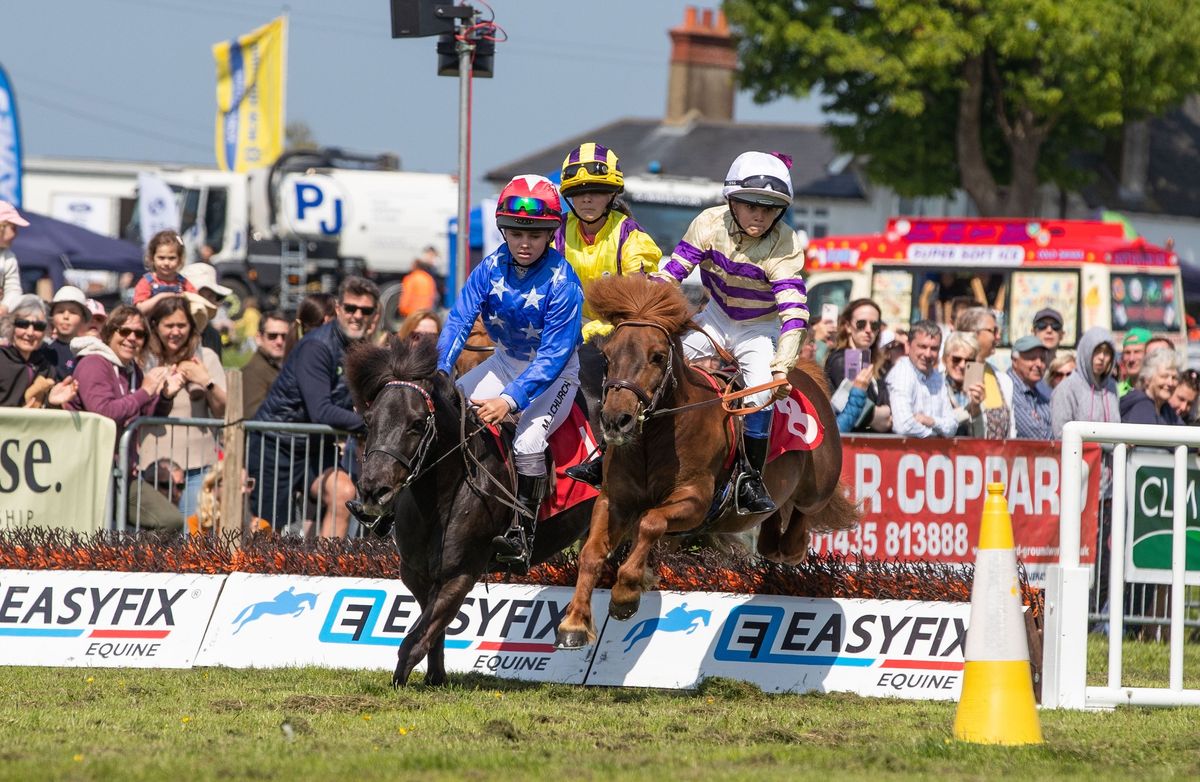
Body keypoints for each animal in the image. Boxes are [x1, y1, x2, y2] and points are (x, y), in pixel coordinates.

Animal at [556, 275, 859, 647]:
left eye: (657, 356)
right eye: (607, 355)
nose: (616, 420)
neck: (656, 438)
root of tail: (803, 377)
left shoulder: (695, 500)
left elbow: (650, 523)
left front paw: (627, 592)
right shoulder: (615, 499)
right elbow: (591, 553)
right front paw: (574, 622)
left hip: (819, 485)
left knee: (802, 515)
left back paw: (791, 542)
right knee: (775, 517)